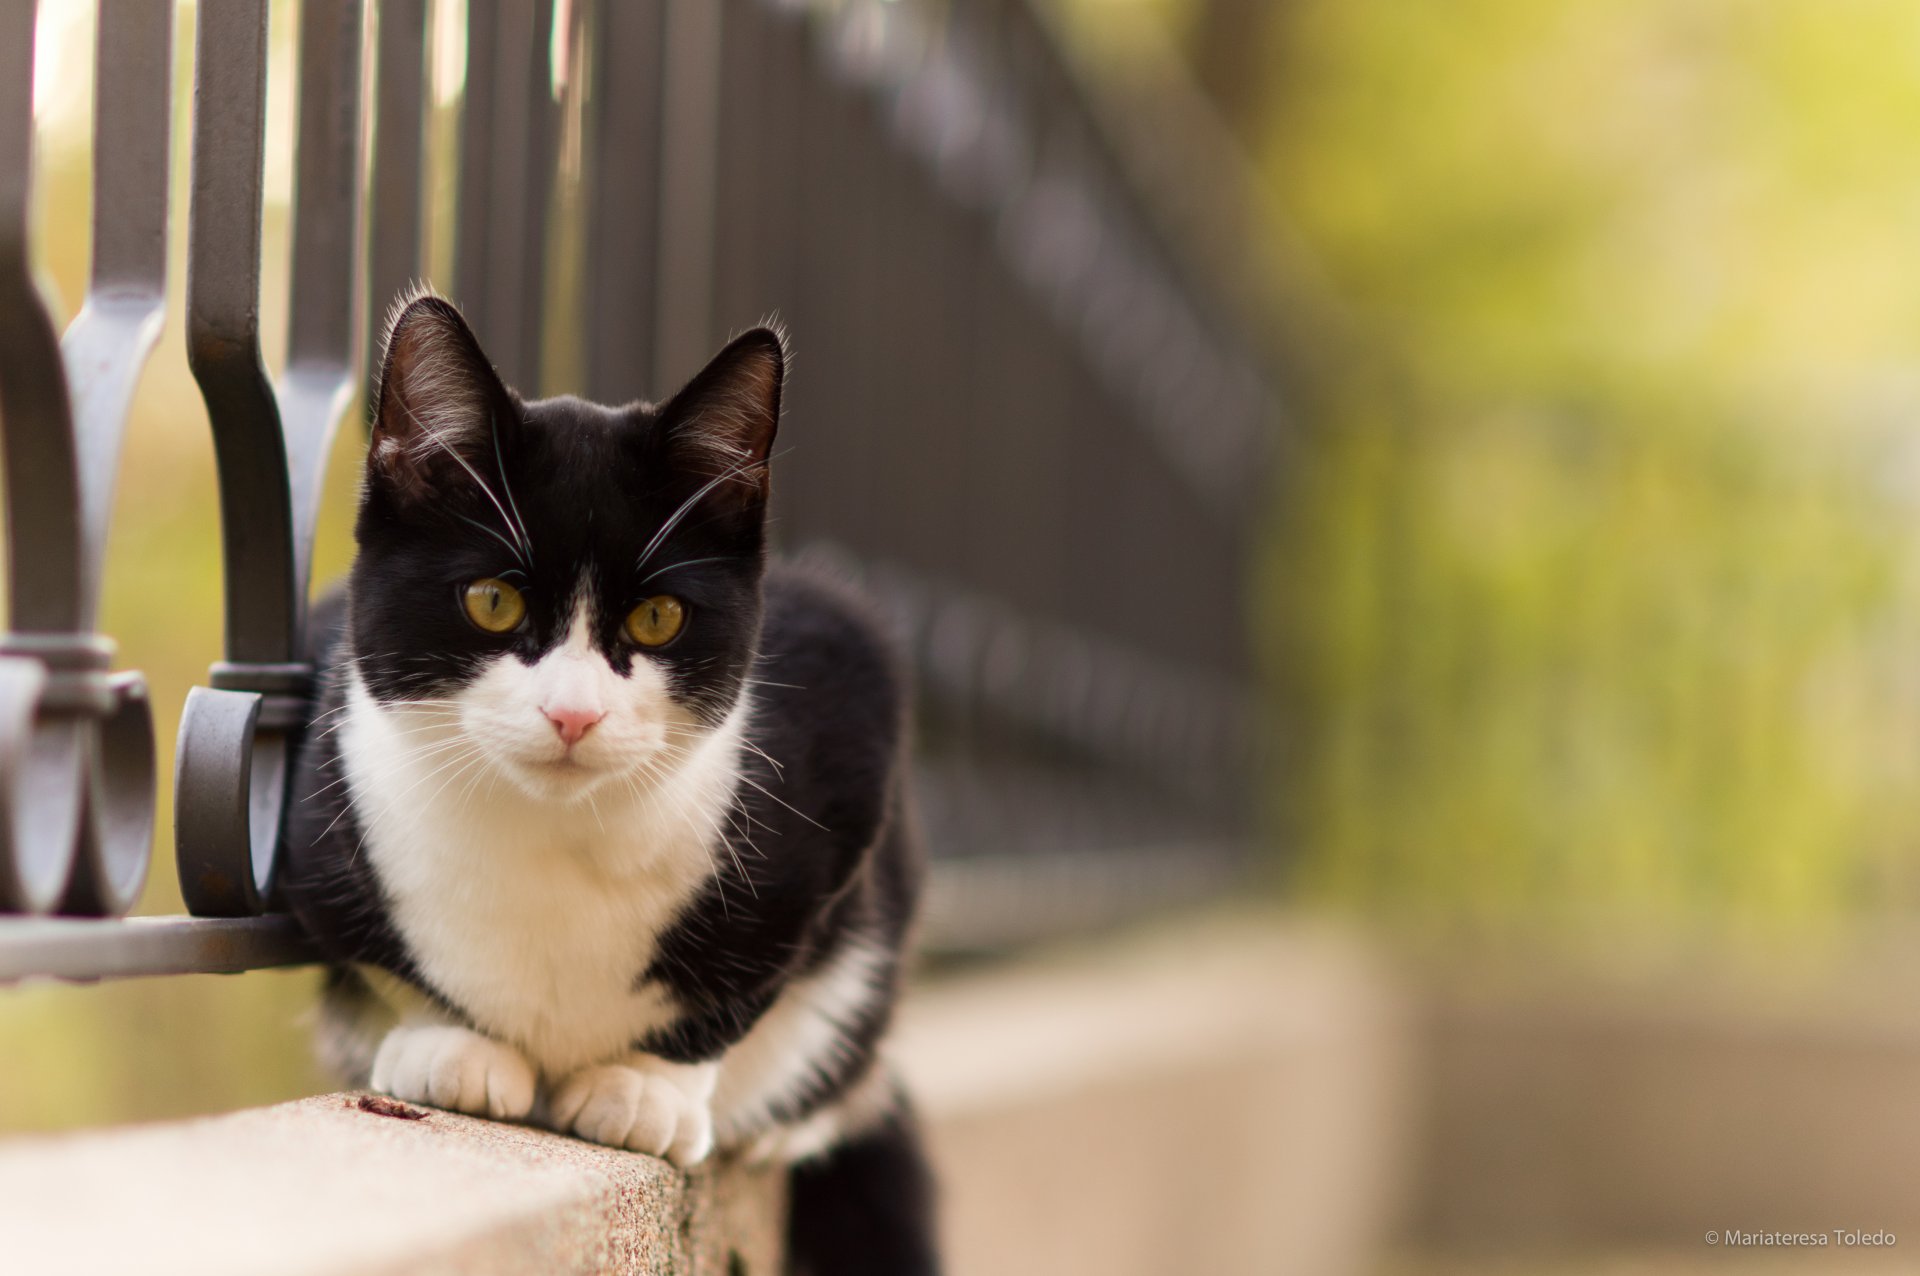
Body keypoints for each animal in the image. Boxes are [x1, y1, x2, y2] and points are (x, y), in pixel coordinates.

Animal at [282, 291, 936, 1274]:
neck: (552, 838)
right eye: (493, 601)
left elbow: (748, 986)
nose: (574, 715)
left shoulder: (852, 702)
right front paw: (454, 1045)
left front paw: (644, 1088)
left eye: (659, 616)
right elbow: (381, 957)